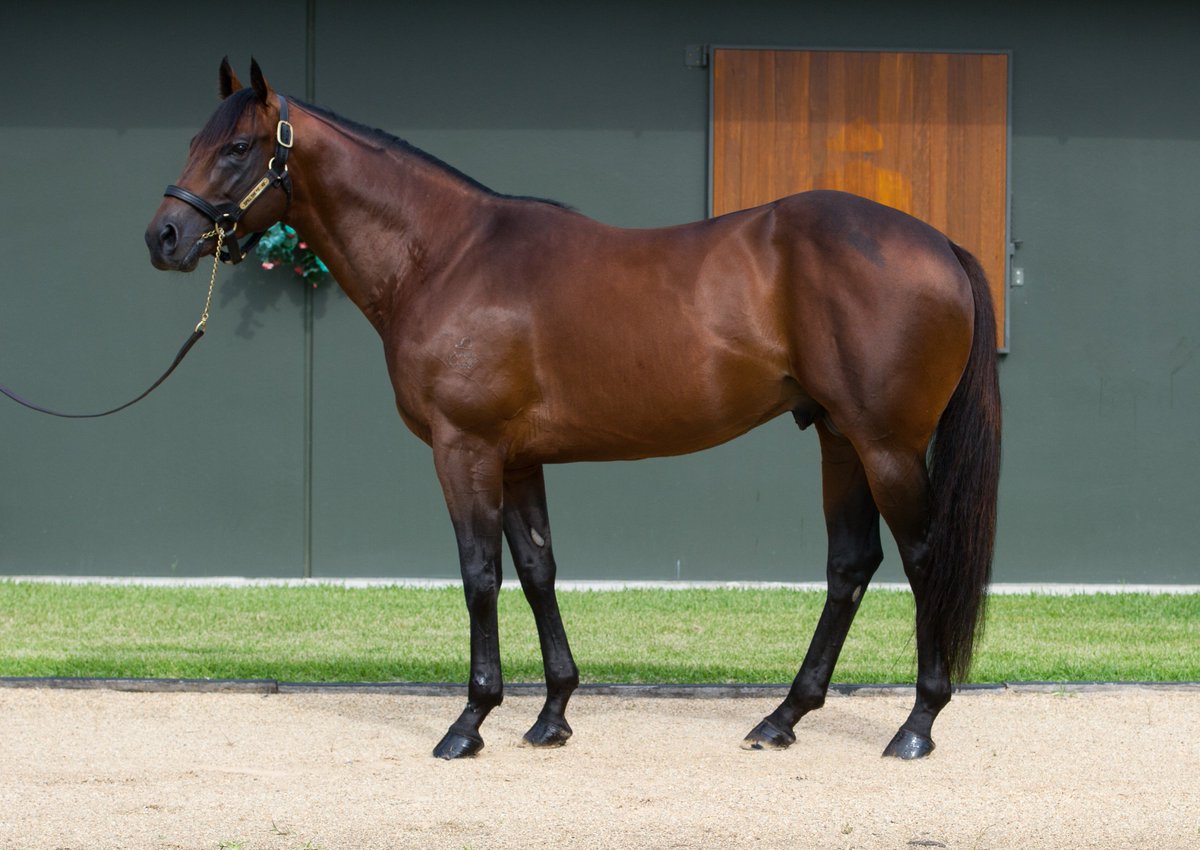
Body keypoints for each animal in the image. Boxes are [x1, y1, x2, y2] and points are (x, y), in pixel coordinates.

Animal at [146, 59, 1001, 761]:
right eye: (194, 140)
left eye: (237, 148)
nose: (165, 235)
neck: (446, 257)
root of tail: (940, 245)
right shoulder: (519, 458)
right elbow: (537, 570)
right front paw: (551, 714)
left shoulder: (465, 449)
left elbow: (479, 574)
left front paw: (470, 721)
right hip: (837, 436)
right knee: (850, 563)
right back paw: (782, 717)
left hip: (886, 443)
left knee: (925, 559)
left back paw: (916, 725)